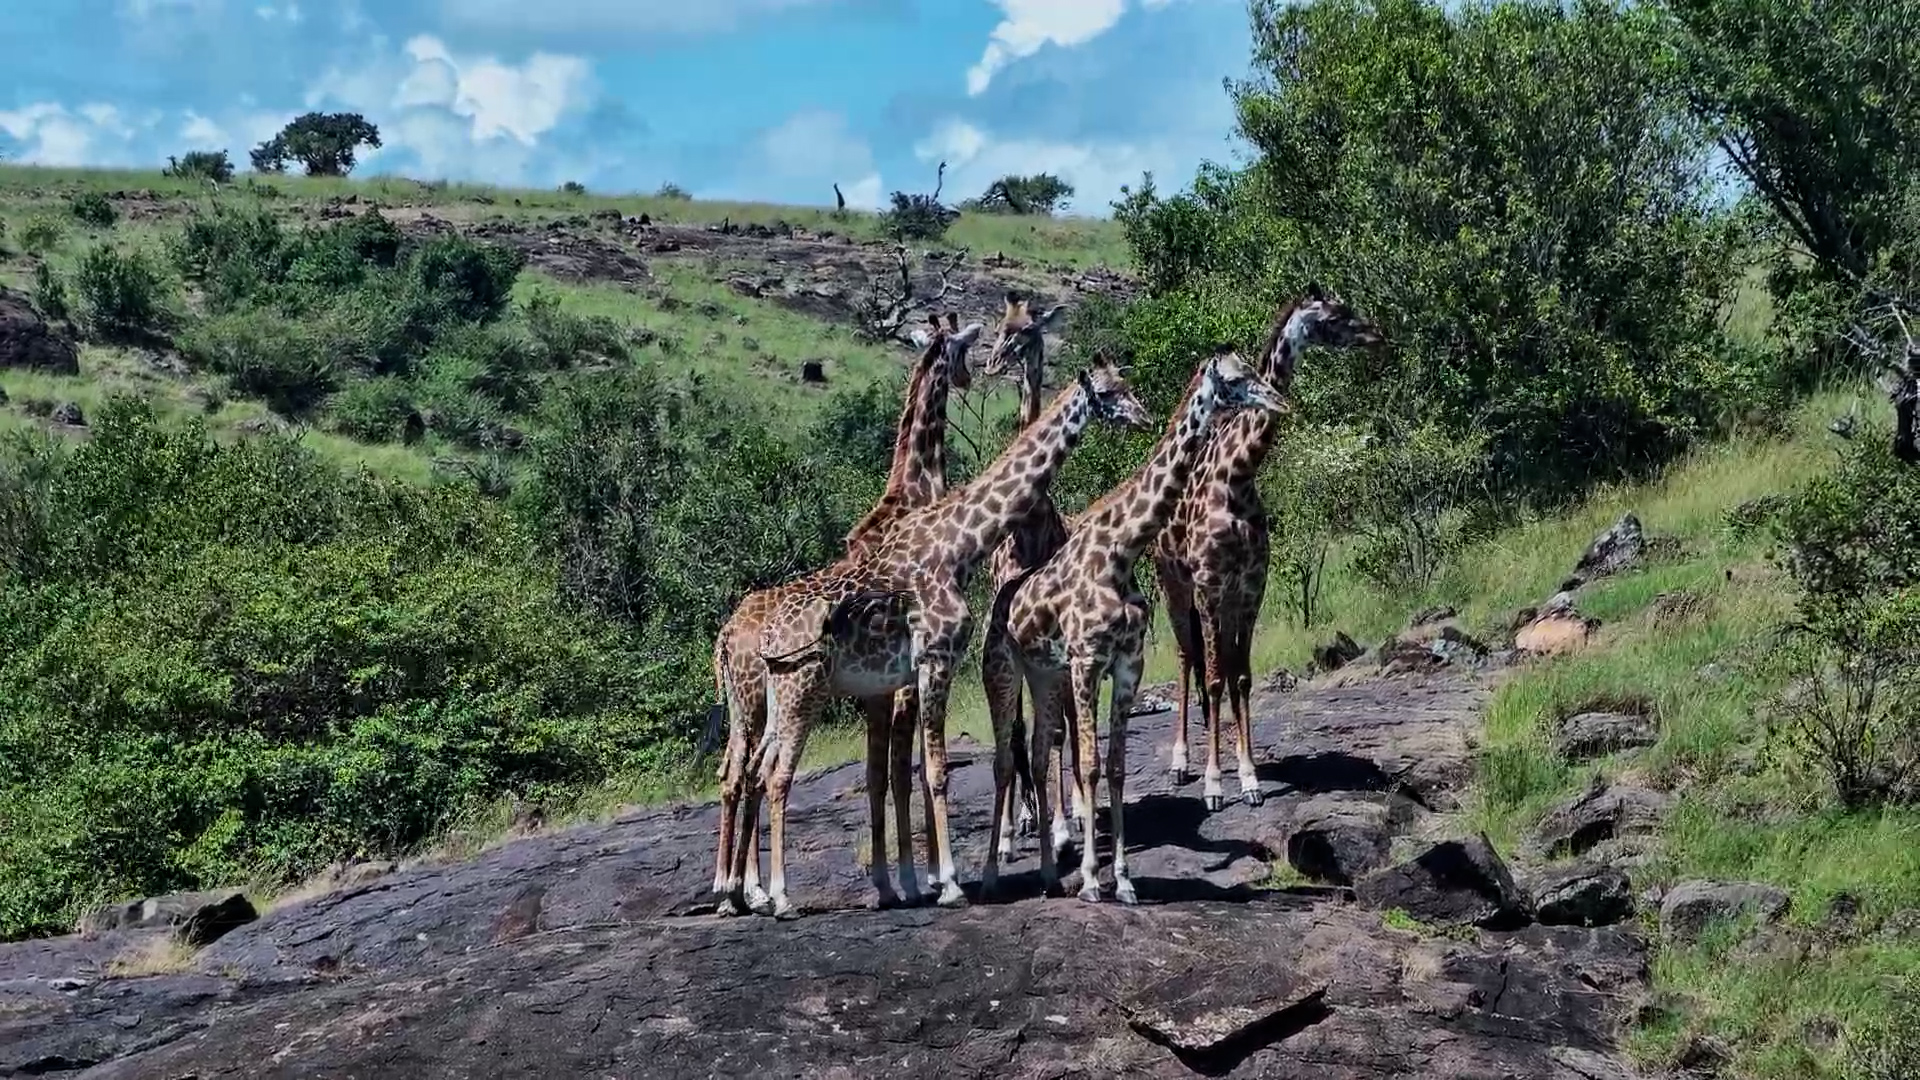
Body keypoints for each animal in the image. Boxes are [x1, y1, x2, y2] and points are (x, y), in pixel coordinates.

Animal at [733, 356, 1151, 917]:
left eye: (1125, 384)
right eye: (1109, 392)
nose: (1144, 417)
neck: (956, 545)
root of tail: (766, 638)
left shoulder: (917, 671)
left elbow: (912, 769)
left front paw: (921, 881)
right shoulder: (936, 658)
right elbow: (934, 769)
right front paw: (950, 883)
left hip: (781, 696)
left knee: (757, 773)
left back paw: (747, 893)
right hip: (803, 691)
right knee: (777, 776)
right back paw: (779, 897)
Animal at [981, 347, 1287, 904]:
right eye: (1235, 380)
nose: (1276, 400)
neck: (1121, 550)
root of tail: (999, 604)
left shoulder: (1127, 664)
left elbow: (1117, 767)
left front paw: (1122, 881)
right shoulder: (1086, 661)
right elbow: (1090, 764)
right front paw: (1090, 881)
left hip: (1044, 675)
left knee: (1035, 753)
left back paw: (1047, 873)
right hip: (1001, 671)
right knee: (1004, 758)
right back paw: (997, 870)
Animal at [1154, 285, 1383, 811]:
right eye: (1335, 316)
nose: (1378, 335)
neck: (1238, 476)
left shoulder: (1251, 588)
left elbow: (1240, 677)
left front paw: (1250, 776)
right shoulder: (1210, 585)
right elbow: (1215, 678)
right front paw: (1214, 785)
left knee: (1210, 663)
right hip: (1173, 585)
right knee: (1186, 658)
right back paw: (1180, 764)